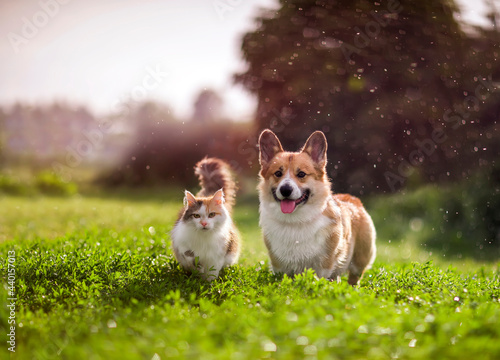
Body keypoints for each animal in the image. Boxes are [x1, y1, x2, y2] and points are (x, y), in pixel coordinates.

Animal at [258, 129, 376, 284]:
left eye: (301, 174)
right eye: (278, 173)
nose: (285, 190)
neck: (295, 221)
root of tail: (352, 198)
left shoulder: (324, 265)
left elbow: (319, 279)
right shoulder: (279, 266)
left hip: (359, 260)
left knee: (354, 278)